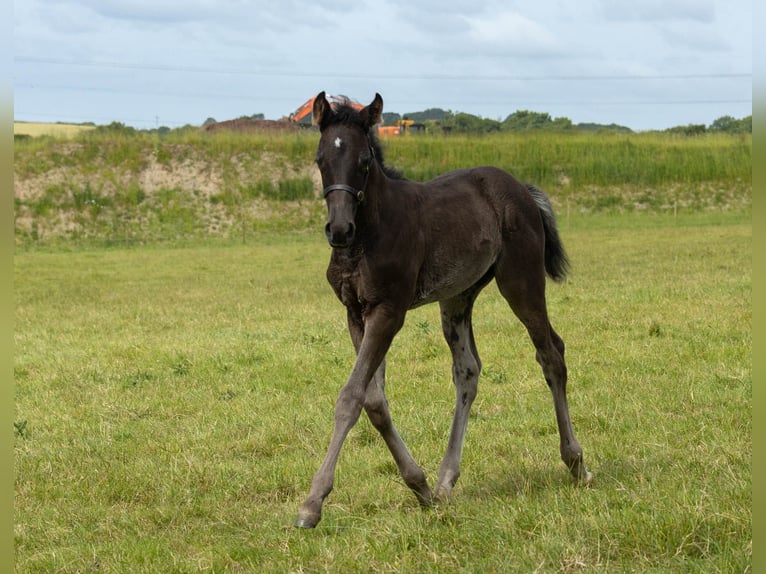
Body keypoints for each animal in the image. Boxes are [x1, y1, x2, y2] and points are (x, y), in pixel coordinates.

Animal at [294, 93, 592, 532]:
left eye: (364, 160)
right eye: (320, 159)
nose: (339, 230)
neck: (368, 234)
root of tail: (521, 188)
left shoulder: (389, 310)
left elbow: (351, 397)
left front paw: (312, 503)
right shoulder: (355, 312)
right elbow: (374, 401)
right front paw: (418, 485)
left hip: (520, 281)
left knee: (551, 353)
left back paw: (575, 462)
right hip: (457, 297)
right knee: (468, 370)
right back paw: (445, 480)